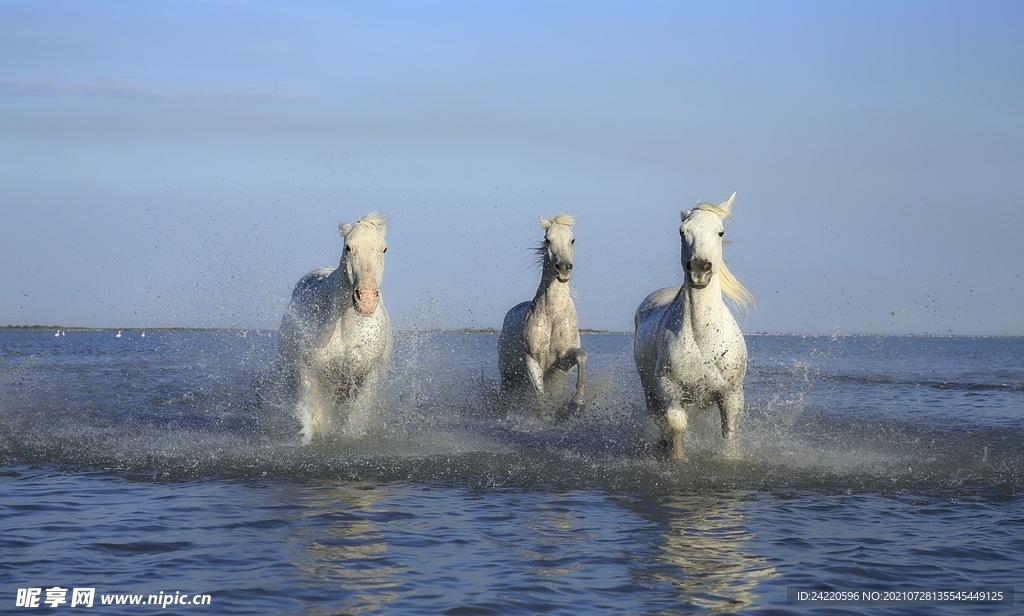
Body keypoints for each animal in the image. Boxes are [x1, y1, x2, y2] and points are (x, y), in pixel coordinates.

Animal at [279, 213, 392, 443]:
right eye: (348, 247)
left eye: (383, 249)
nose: (366, 300)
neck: (347, 328)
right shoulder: (309, 370)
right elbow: (314, 417)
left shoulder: (368, 375)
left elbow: (355, 417)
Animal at [498, 214, 587, 412]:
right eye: (547, 240)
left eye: (572, 240)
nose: (563, 267)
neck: (553, 315)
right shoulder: (532, 361)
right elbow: (541, 396)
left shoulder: (561, 361)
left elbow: (581, 355)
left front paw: (578, 402)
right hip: (507, 375)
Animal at [633, 193, 753, 459]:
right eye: (682, 232)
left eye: (720, 232)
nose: (699, 269)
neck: (703, 340)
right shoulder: (667, 386)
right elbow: (676, 423)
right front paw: (677, 457)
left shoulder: (731, 394)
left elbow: (729, 434)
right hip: (650, 392)